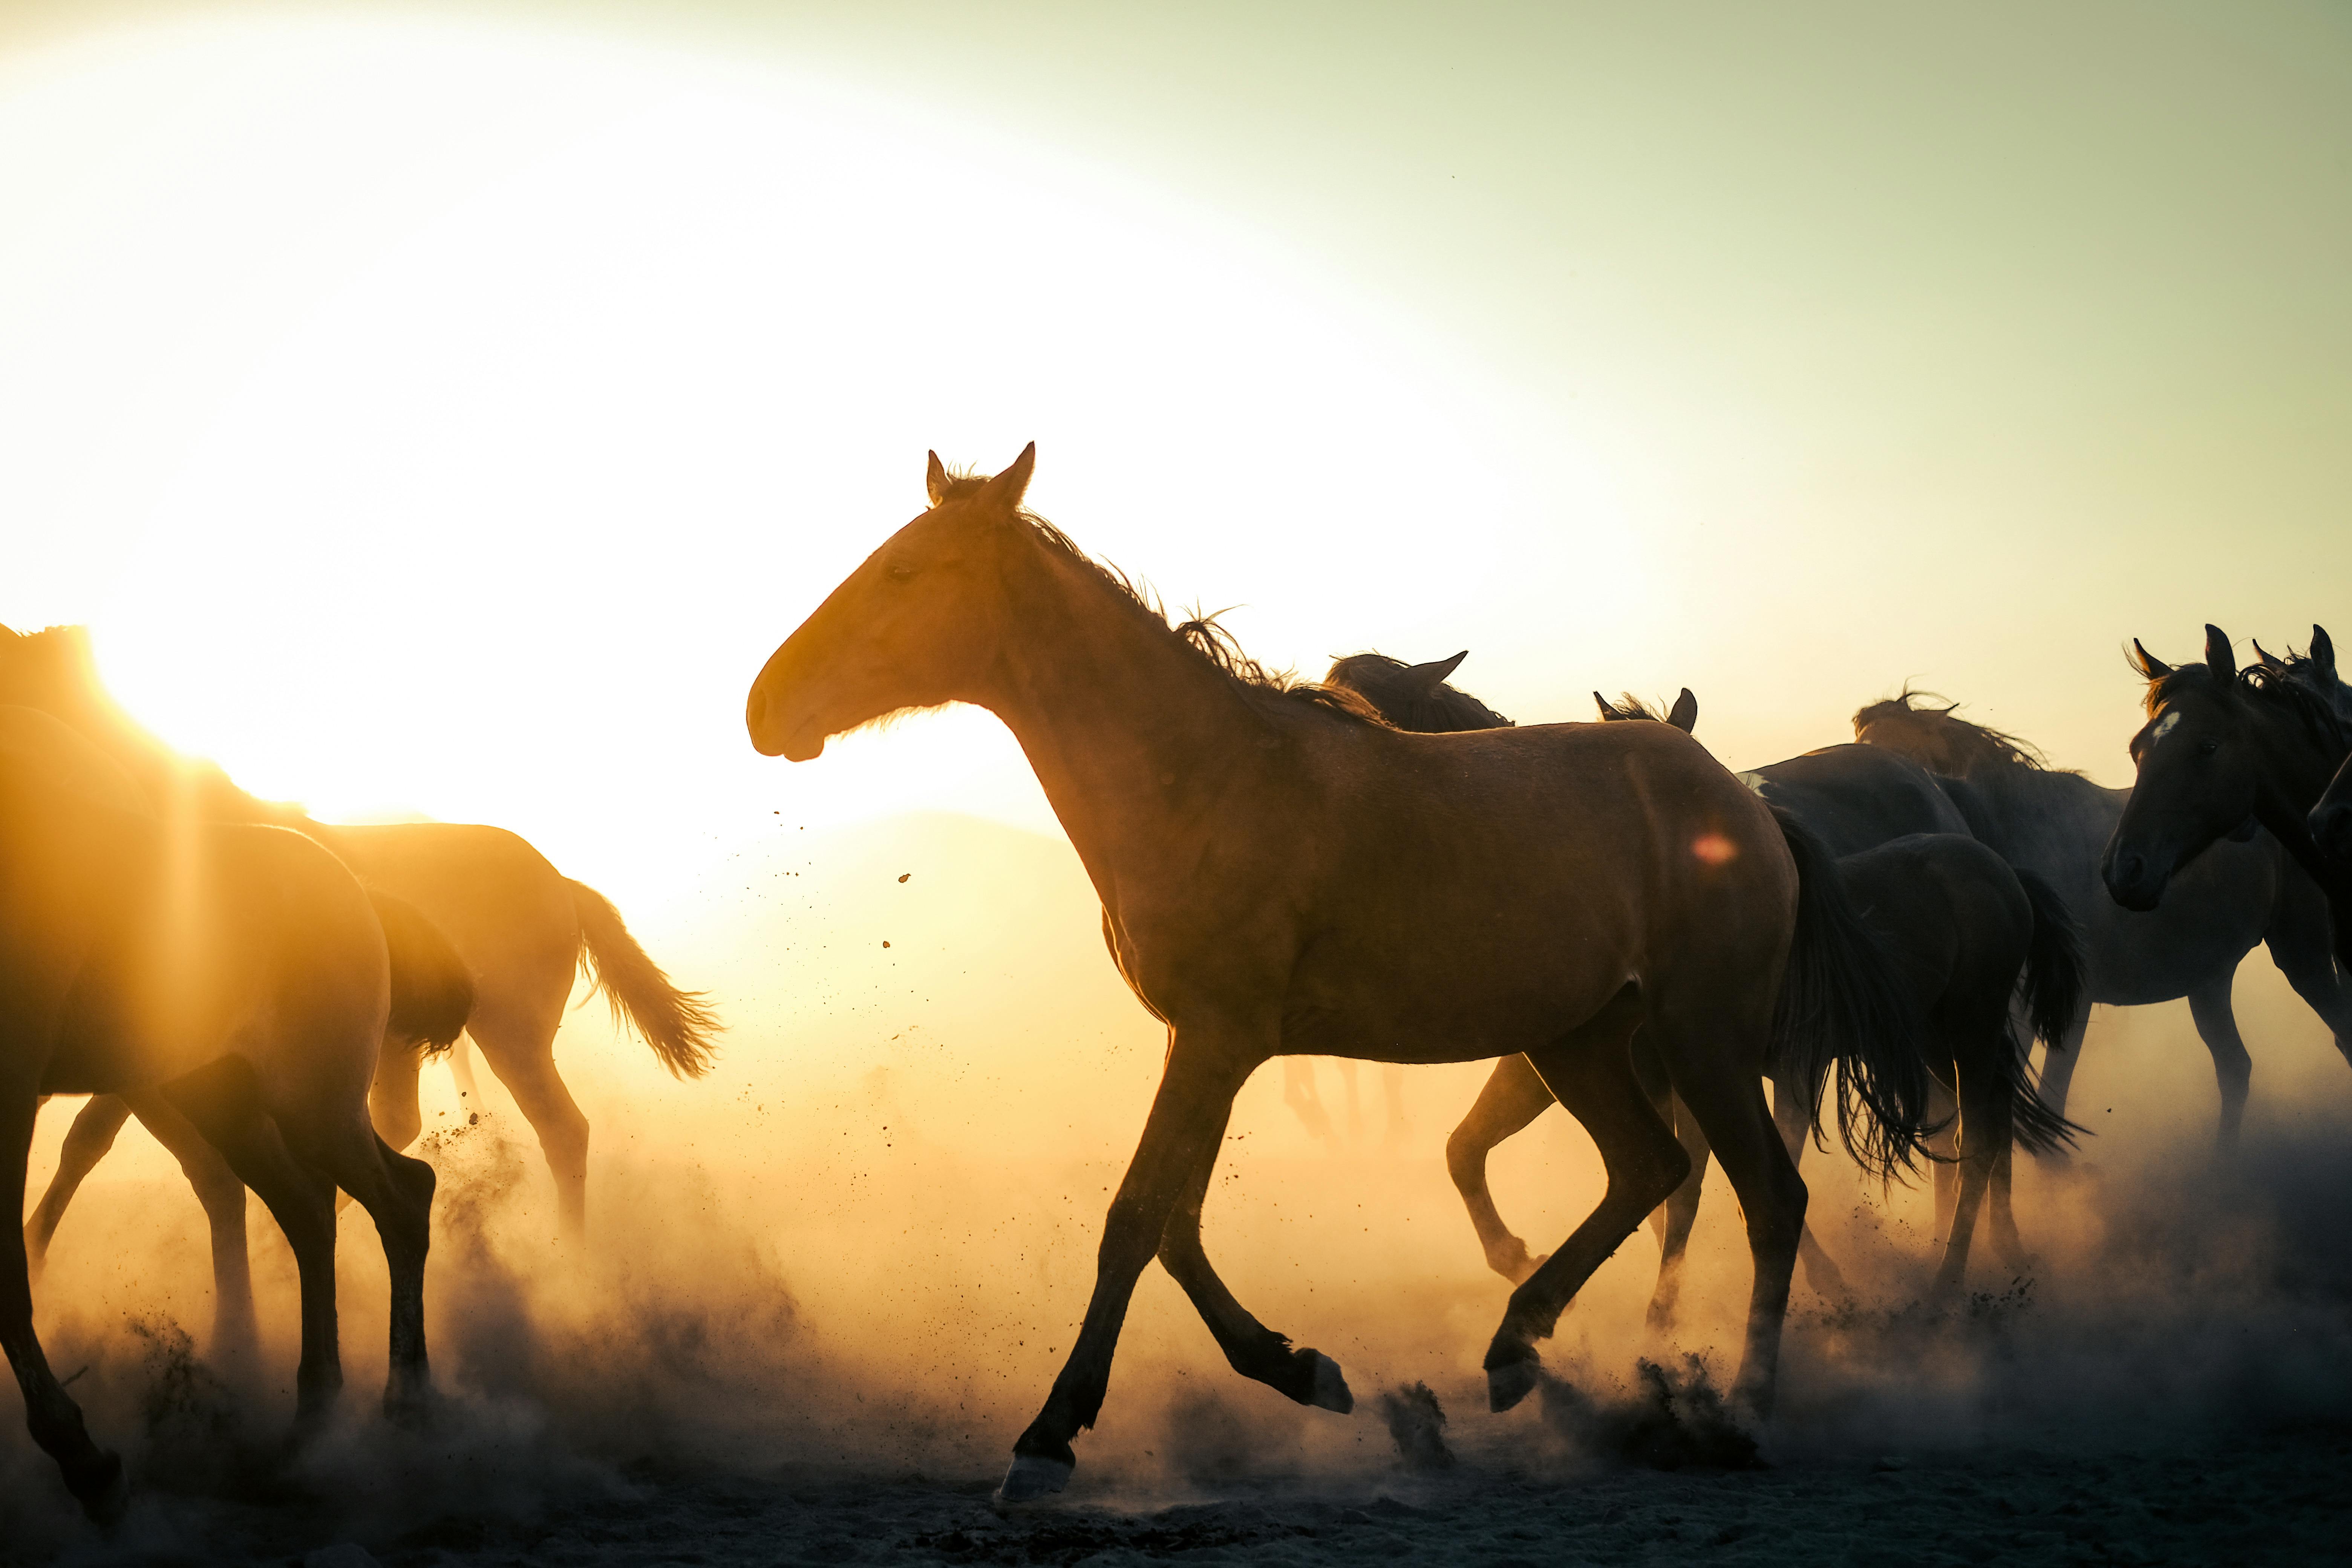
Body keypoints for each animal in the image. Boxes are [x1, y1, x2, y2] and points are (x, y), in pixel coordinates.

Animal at [0, 620, 720, 1241]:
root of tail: (564, 885)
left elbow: (89, 1141)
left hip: (510, 1036)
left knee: (562, 1131)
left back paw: (573, 1260)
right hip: (405, 1042)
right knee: (398, 1123)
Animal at [3, 761, 442, 1523]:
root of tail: (356, 894)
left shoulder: (14, 1076)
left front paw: (91, 1468)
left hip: (313, 1102)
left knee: (401, 1200)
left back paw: (405, 1407)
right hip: (225, 1100)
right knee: (308, 1209)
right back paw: (312, 1421)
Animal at [748, 447, 1928, 1504]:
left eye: (905, 572)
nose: (765, 708)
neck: (1204, 778)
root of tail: (1744, 801)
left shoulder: (1219, 1040)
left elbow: (1136, 1218)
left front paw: (1046, 1440)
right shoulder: (1203, 1041)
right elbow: (1176, 1225)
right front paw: (1302, 1369)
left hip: (1701, 1039)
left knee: (1767, 1197)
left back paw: (1740, 1414)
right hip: (1582, 1039)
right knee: (1649, 1170)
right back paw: (1515, 1349)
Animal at [1326, 658, 2079, 1297]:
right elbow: (1474, 1148)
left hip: (1955, 1030)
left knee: (1982, 1127)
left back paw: (1978, 1263)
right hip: (1922, 1038)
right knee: (1968, 1123)